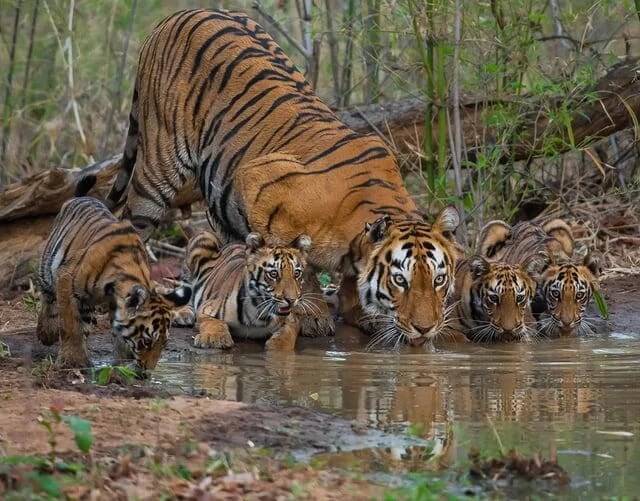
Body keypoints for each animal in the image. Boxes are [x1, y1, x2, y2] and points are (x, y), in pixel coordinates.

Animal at [37, 196, 191, 369]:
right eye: (146, 341)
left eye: (164, 344)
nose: (147, 371)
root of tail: (83, 197)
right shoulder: (66, 278)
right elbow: (70, 324)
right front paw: (72, 359)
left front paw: (121, 363)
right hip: (48, 268)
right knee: (48, 298)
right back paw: (46, 332)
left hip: (86, 303)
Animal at [182, 229, 312, 351]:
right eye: (273, 274)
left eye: (297, 273)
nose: (291, 300)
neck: (259, 312)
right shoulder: (205, 309)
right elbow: (214, 323)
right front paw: (213, 338)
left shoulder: (292, 319)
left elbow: (287, 334)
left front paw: (278, 348)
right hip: (204, 237)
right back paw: (184, 314)